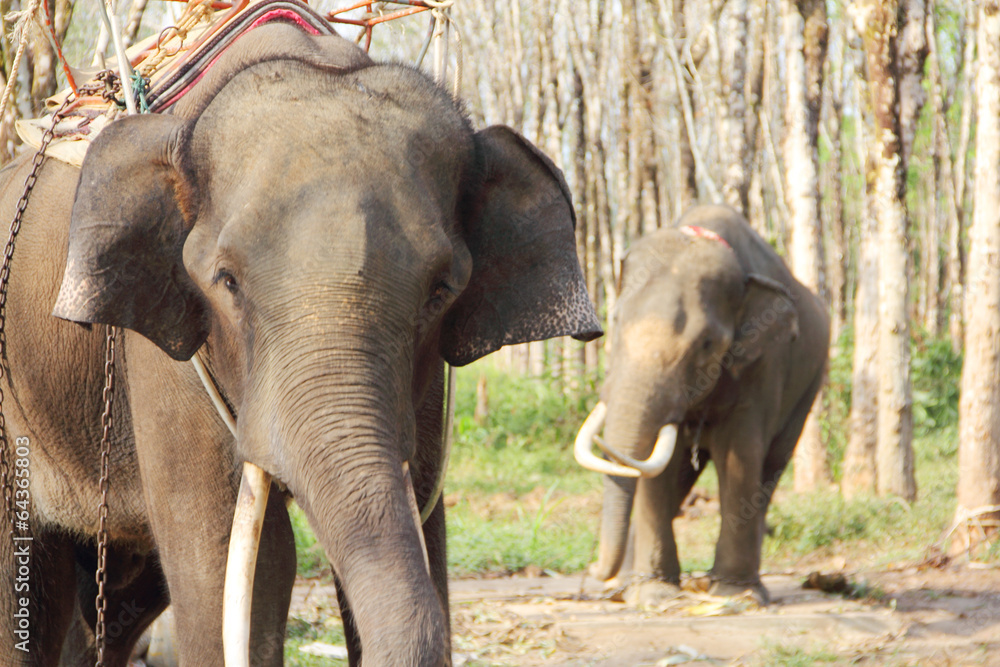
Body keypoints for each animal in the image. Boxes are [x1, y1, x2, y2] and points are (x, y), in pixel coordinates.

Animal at [575, 204, 828, 606]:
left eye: (707, 343)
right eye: (615, 320)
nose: (593, 572)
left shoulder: (765, 359)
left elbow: (741, 453)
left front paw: (735, 594)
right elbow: (656, 467)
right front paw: (653, 593)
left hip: (809, 389)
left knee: (771, 468)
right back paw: (627, 585)